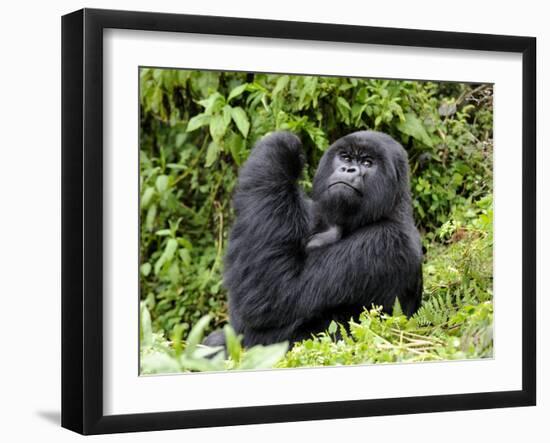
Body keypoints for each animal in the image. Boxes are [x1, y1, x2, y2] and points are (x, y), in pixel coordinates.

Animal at [205, 130, 424, 348]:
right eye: (345, 157)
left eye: (367, 163)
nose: (348, 169)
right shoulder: (314, 213)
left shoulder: (386, 242)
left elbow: (275, 292)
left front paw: (282, 146)